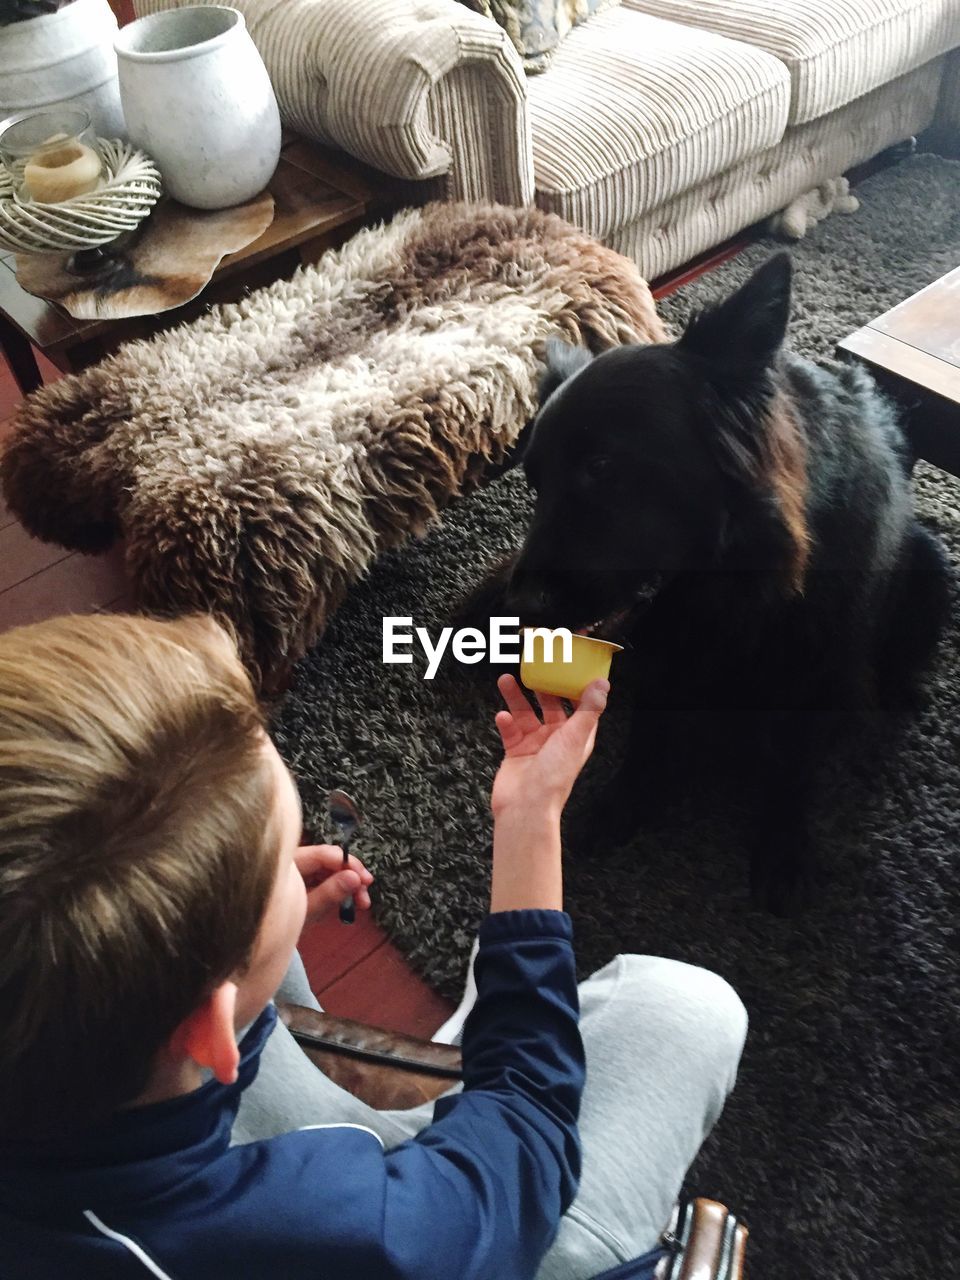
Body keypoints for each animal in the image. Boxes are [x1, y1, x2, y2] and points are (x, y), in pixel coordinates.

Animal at [483, 254, 952, 916]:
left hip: (933, 563)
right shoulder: (663, 654)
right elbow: (651, 732)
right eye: (535, 484)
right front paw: (627, 800)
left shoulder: (814, 672)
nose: (519, 608)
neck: (735, 595)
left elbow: (793, 766)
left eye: (601, 468)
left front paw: (781, 845)